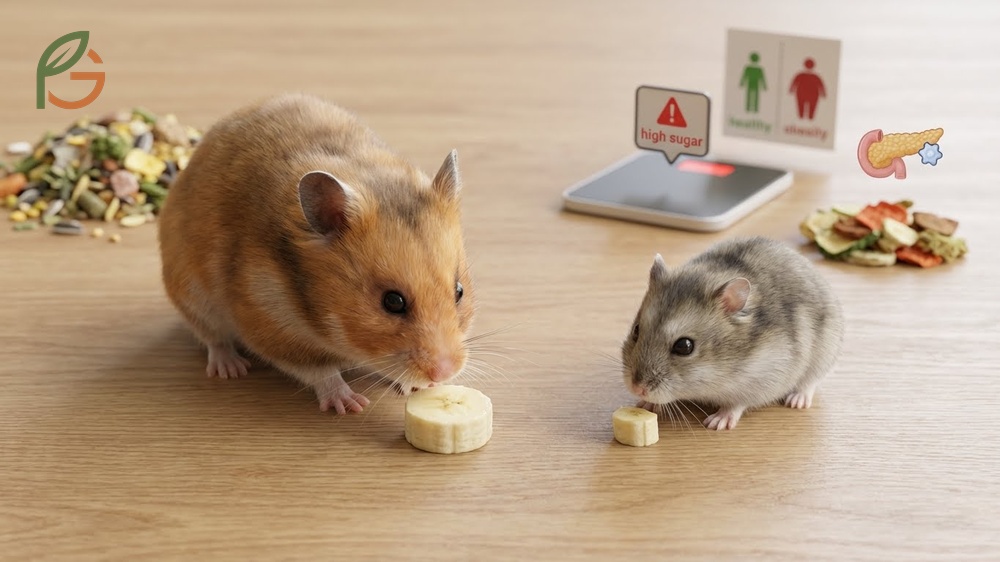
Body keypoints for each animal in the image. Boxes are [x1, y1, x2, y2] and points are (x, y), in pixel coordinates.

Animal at [157, 93, 475, 414]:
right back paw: (231, 368)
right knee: (213, 338)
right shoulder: (271, 326)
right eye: (393, 302)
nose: (445, 372)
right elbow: (319, 371)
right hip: (192, 295)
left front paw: (421, 387)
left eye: (459, 291)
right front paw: (350, 404)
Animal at [621, 236, 844, 430]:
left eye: (684, 346)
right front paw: (645, 405)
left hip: (824, 355)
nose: (636, 388)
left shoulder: (761, 380)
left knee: (809, 383)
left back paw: (797, 401)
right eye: (636, 330)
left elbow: (736, 404)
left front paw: (716, 423)